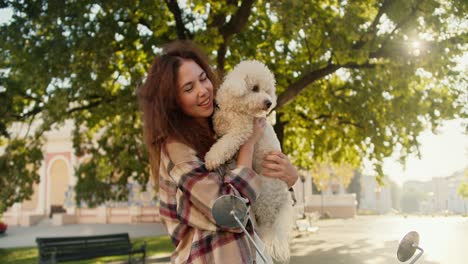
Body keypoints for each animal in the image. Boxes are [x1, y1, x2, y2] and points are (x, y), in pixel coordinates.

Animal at [207, 60, 294, 264]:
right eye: (255, 88)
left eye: (267, 91)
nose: (269, 102)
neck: (237, 110)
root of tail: (284, 197)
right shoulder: (221, 123)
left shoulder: (241, 132)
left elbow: (224, 144)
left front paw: (212, 158)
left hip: (263, 197)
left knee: (266, 225)